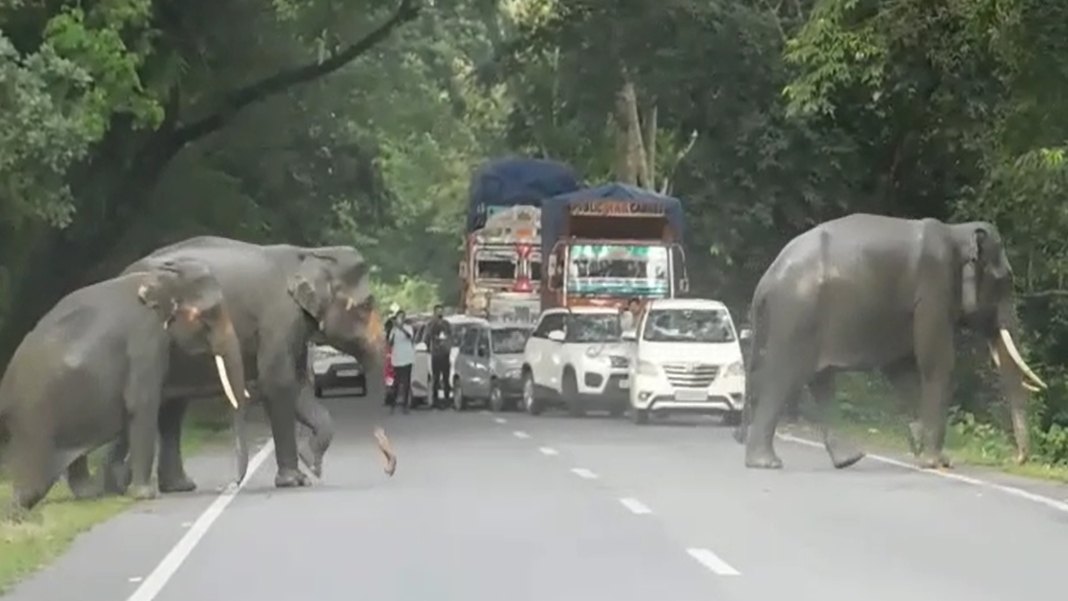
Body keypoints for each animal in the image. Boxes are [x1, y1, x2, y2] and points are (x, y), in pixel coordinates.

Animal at [0, 256, 250, 518]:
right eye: (206, 316)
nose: (234, 482)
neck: (161, 277)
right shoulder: (145, 342)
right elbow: (143, 405)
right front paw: (144, 495)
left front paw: (121, 483)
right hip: (36, 419)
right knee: (33, 483)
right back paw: (18, 512)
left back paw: (92, 492)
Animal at [739, 213, 1046, 471]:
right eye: (1004, 281)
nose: (1016, 459)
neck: (956, 232)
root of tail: (764, 282)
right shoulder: (933, 291)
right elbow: (936, 363)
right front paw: (937, 462)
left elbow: (901, 368)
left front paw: (917, 441)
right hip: (796, 316)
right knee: (784, 378)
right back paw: (767, 463)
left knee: (820, 381)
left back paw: (848, 459)